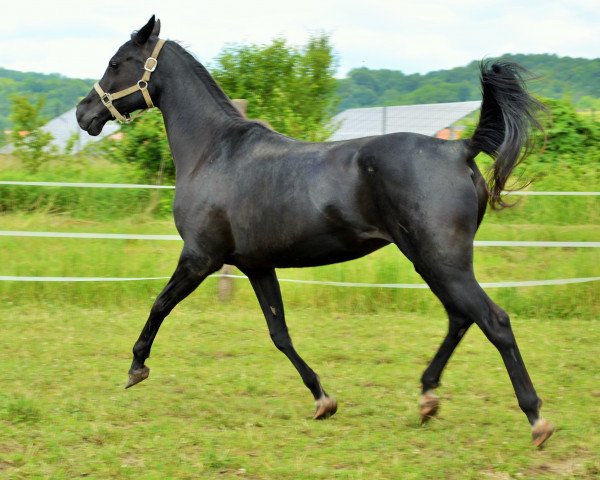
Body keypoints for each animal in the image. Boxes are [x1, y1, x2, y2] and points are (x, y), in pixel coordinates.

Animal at [77, 17, 556, 446]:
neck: (214, 151)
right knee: (460, 318)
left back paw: (535, 418)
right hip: (429, 261)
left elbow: (159, 304)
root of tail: (459, 149)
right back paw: (427, 399)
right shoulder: (256, 266)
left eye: (117, 62)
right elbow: (280, 334)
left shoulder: (200, 258)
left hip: (443, 260)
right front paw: (323, 400)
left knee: (493, 320)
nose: (85, 113)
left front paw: (136, 368)